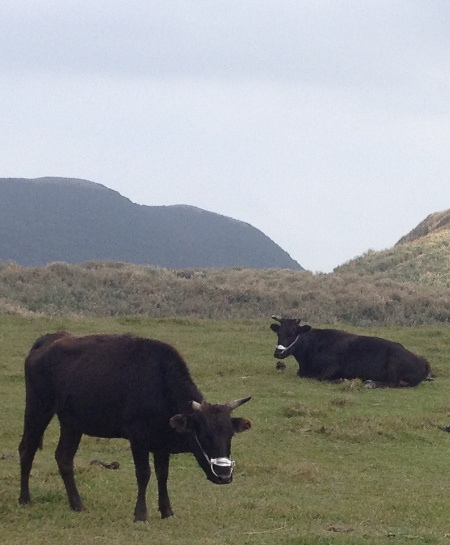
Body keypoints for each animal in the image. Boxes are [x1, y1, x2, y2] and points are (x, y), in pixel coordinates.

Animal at [19, 330, 251, 520]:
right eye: (203, 435)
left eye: (230, 435)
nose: (224, 476)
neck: (159, 384)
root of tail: (47, 340)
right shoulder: (138, 437)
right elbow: (144, 473)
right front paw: (140, 514)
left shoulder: (161, 443)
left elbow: (163, 475)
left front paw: (167, 511)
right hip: (38, 409)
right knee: (27, 449)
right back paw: (25, 499)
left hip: (72, 424)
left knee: (64, 458)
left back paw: (77, 504)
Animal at [268, 314, 430, 386]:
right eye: (278, 333)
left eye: (292, 333)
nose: (278, 353)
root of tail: (423, 360)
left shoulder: (332, 367)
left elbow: (320, 377)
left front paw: (340, 380)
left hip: (394, 363)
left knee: (392, 383)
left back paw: (370, 383)